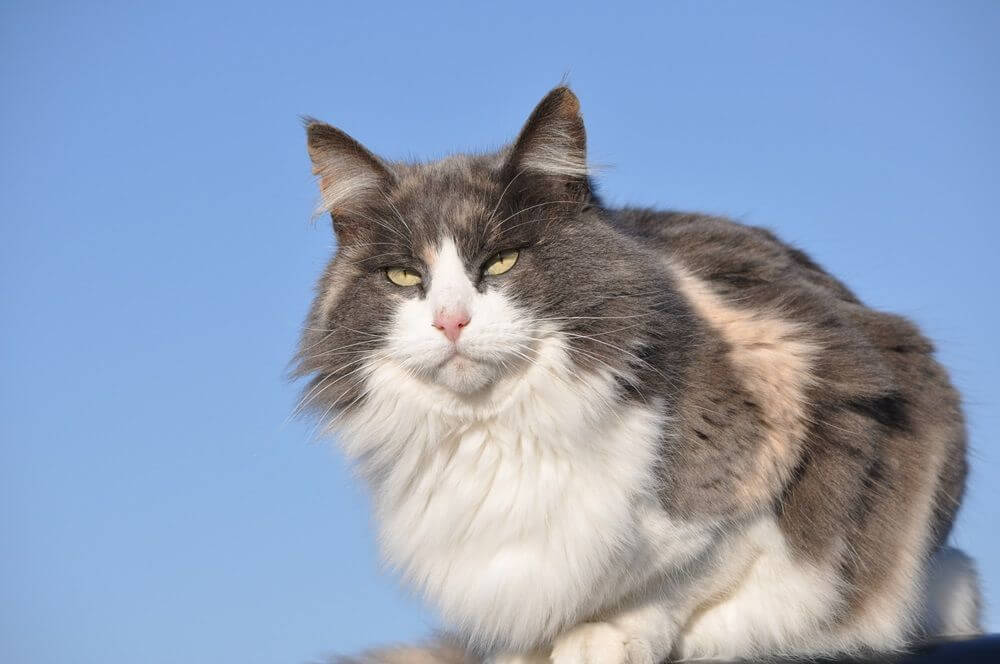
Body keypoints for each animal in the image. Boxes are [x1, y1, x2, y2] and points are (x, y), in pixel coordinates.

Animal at [292, 88, 980, 664]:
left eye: (503, 261)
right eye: (404, 276)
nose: (451, 321)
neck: (495, 427)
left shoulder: (792, 418)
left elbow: (684, 572)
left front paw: (601, 635)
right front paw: (530, 650)